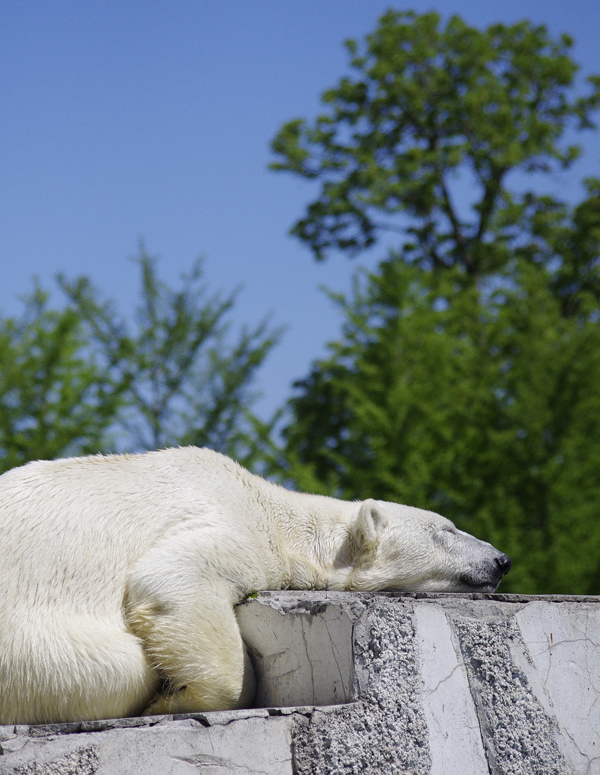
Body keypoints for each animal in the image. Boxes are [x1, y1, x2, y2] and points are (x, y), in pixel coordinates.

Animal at [0, 446, 510, 724]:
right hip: (34, 651)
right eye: (447, 530)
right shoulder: (232, 522)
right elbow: (175, 574)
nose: (501, 560)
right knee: (122, 665)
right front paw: (167, 700)